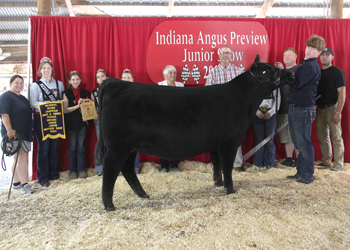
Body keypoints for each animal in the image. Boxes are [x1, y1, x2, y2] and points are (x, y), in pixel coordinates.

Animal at [94, 55, 294, 210]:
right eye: (266, 72)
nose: (291, 74)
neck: (243, 99)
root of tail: (113, 83)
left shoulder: (216, 144)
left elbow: (216, 164)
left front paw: (218, 183)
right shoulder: (228, 142)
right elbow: (227, 166)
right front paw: (230, 189)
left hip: (131, 146)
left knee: (127, 168)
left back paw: (142, 194)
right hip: (118, 145)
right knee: (111, 167)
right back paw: (109, 205)